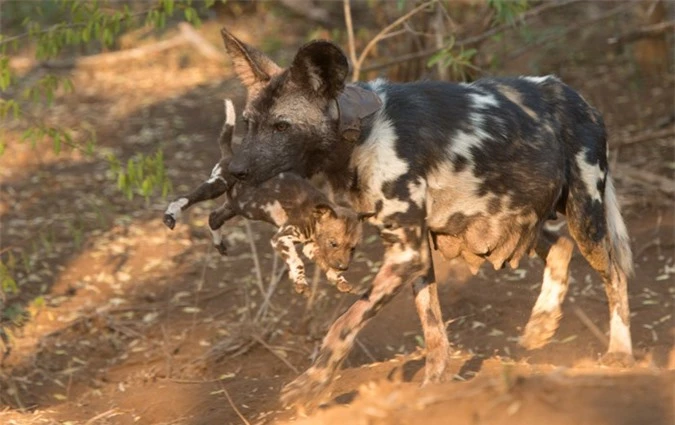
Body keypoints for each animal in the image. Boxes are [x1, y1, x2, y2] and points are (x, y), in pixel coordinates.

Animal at [164, 100, 368, 294]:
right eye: (333, 243)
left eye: (353, 248)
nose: (344, 266)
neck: (314, 215)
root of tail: (231, 157)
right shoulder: (282, 239)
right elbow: (297, 262)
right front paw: (301, 283)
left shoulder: (310, 247)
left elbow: (324, 265)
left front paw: (338, 280)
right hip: (217, 186)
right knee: (184, 198)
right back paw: (170, 216)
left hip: (236, 207)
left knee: (213, 217)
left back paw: (219, 244)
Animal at [219, 28, 636, 406]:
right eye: (248, 124)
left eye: (281, 126)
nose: (234, 171)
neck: (362, 133)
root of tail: (577, 96)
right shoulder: (414, 251)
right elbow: (433, 329)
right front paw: (433, 387)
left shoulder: (407, 251)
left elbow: (344, 323)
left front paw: (312, 383)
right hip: (515, 217)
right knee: (560, 246)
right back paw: (541, 325)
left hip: (585, 217)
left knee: (614, 275)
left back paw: (620, 354)